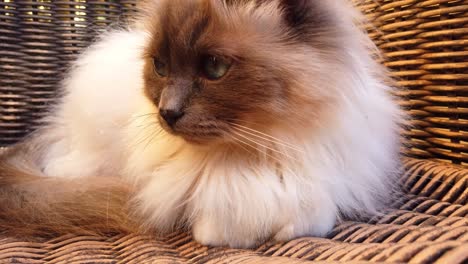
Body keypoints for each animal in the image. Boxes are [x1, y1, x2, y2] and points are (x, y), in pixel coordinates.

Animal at [0, 0, 402, 249]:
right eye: (160, 67)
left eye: (214, 68)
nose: (167, 112)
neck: (258, 146)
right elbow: (220, 216)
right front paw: (230, 234)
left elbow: (312, 217)